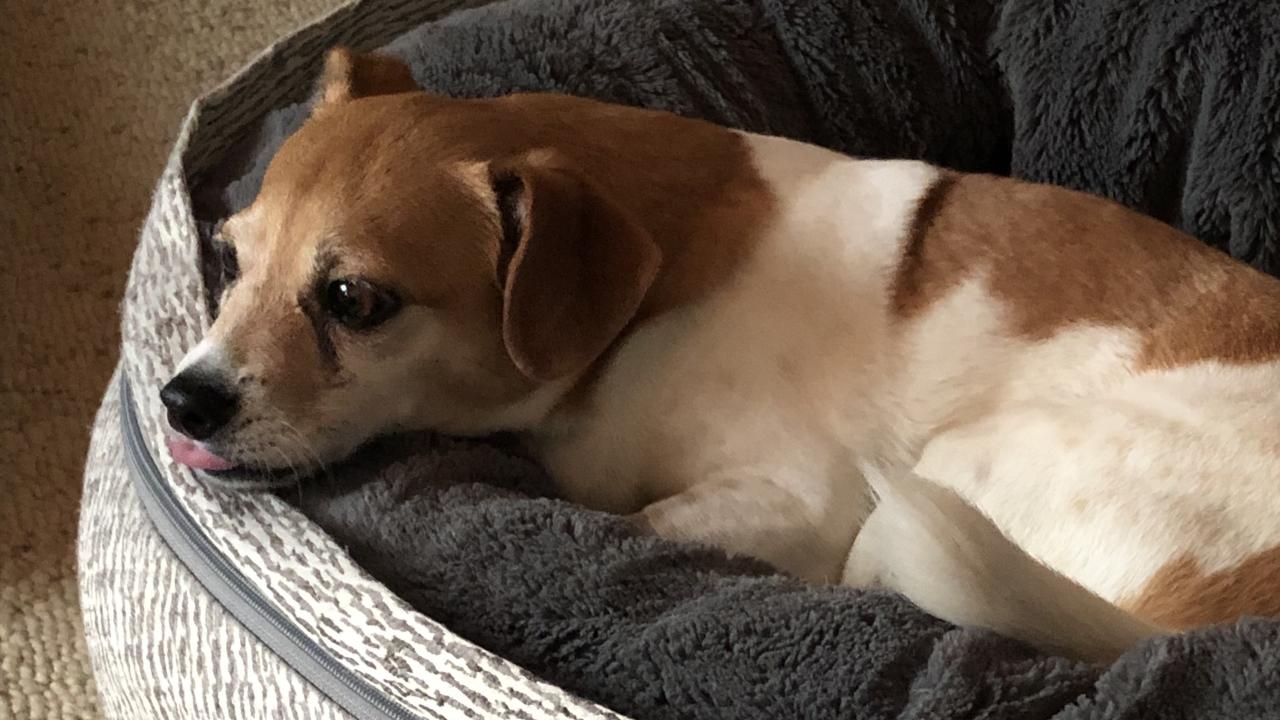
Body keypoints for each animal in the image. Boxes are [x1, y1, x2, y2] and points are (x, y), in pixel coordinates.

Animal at [160, 47, 1280, 661]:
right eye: (230, 257)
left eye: (355, 300)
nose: (181, 401)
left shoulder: (798, 500)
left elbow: (647, 523)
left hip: (946, 485)